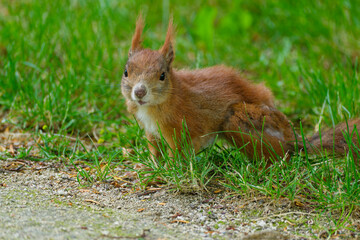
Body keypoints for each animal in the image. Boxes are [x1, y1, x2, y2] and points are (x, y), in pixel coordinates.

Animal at [121, 16, 360, 163]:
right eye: (126, 72)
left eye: (162, 76)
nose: (139, 92)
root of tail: (291, 138)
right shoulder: (150, 129)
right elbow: (154, 149)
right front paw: (150, 166)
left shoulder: (180, 127)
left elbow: (177, 151)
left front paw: (172, 169)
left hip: (241, 120)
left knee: (279, 156)